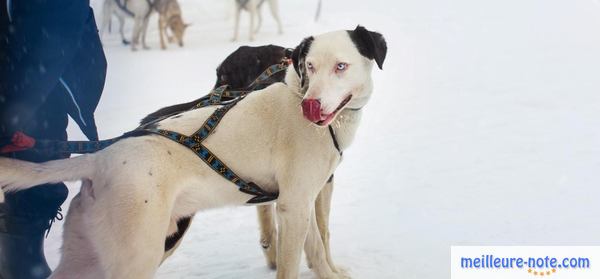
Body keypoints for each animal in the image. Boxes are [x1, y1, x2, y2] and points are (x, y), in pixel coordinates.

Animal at [0, 25, 384, 278]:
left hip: (88, 256)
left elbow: (317, 248)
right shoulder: (294, 205)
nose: (311, 107)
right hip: (138, 254)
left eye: (340, 66)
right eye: (310, 67)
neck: (296, 94)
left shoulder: (303, 201)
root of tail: (99, 159)